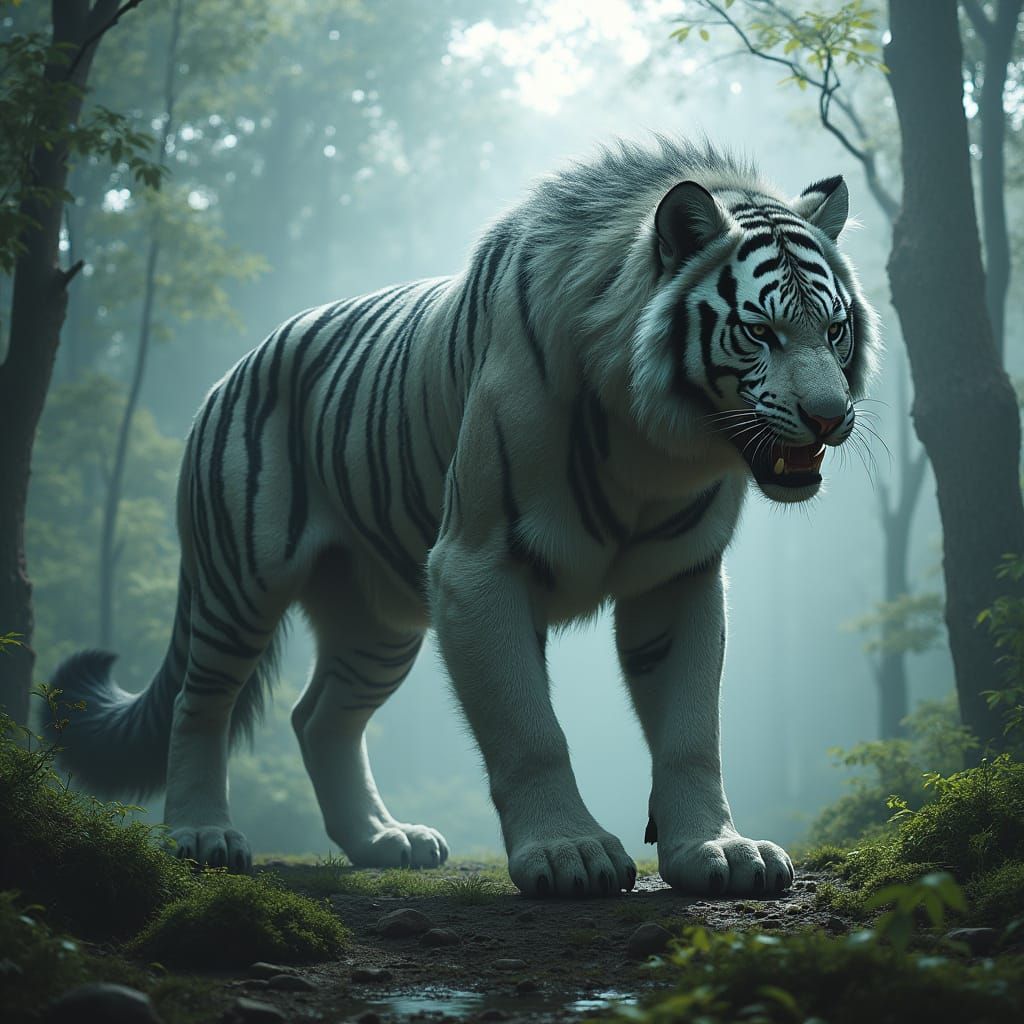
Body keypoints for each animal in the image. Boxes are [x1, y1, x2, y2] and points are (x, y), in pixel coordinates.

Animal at [56, 137, 879, 897]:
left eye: (834, 329)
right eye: (761, 331)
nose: (830, 416)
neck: (654, 441)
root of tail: (233, 369)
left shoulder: (679, 578)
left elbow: (691, 733)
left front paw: (718, 852)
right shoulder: (477, 565)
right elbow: (530, 729)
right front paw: (568, 852)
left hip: (379, 620)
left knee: (319, 717)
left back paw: (383, 840)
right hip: (240, 582)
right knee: (200, 702)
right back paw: (201, 835)